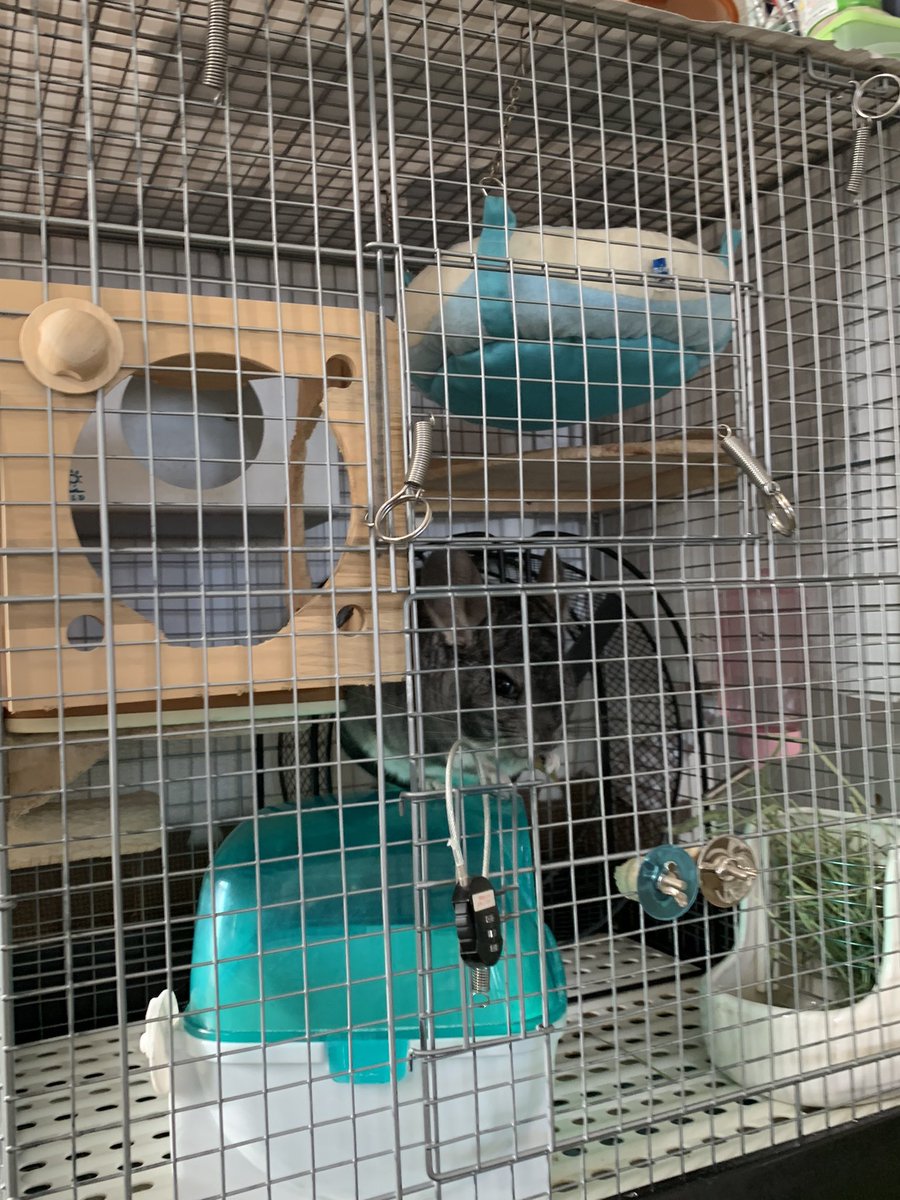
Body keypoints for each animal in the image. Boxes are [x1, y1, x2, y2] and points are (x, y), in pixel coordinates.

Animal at [340, 548, 575, 788]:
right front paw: (497, 776)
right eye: (503, 686)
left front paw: (553, 761)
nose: (547, 740)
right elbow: (473, 758)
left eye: (564, 676)